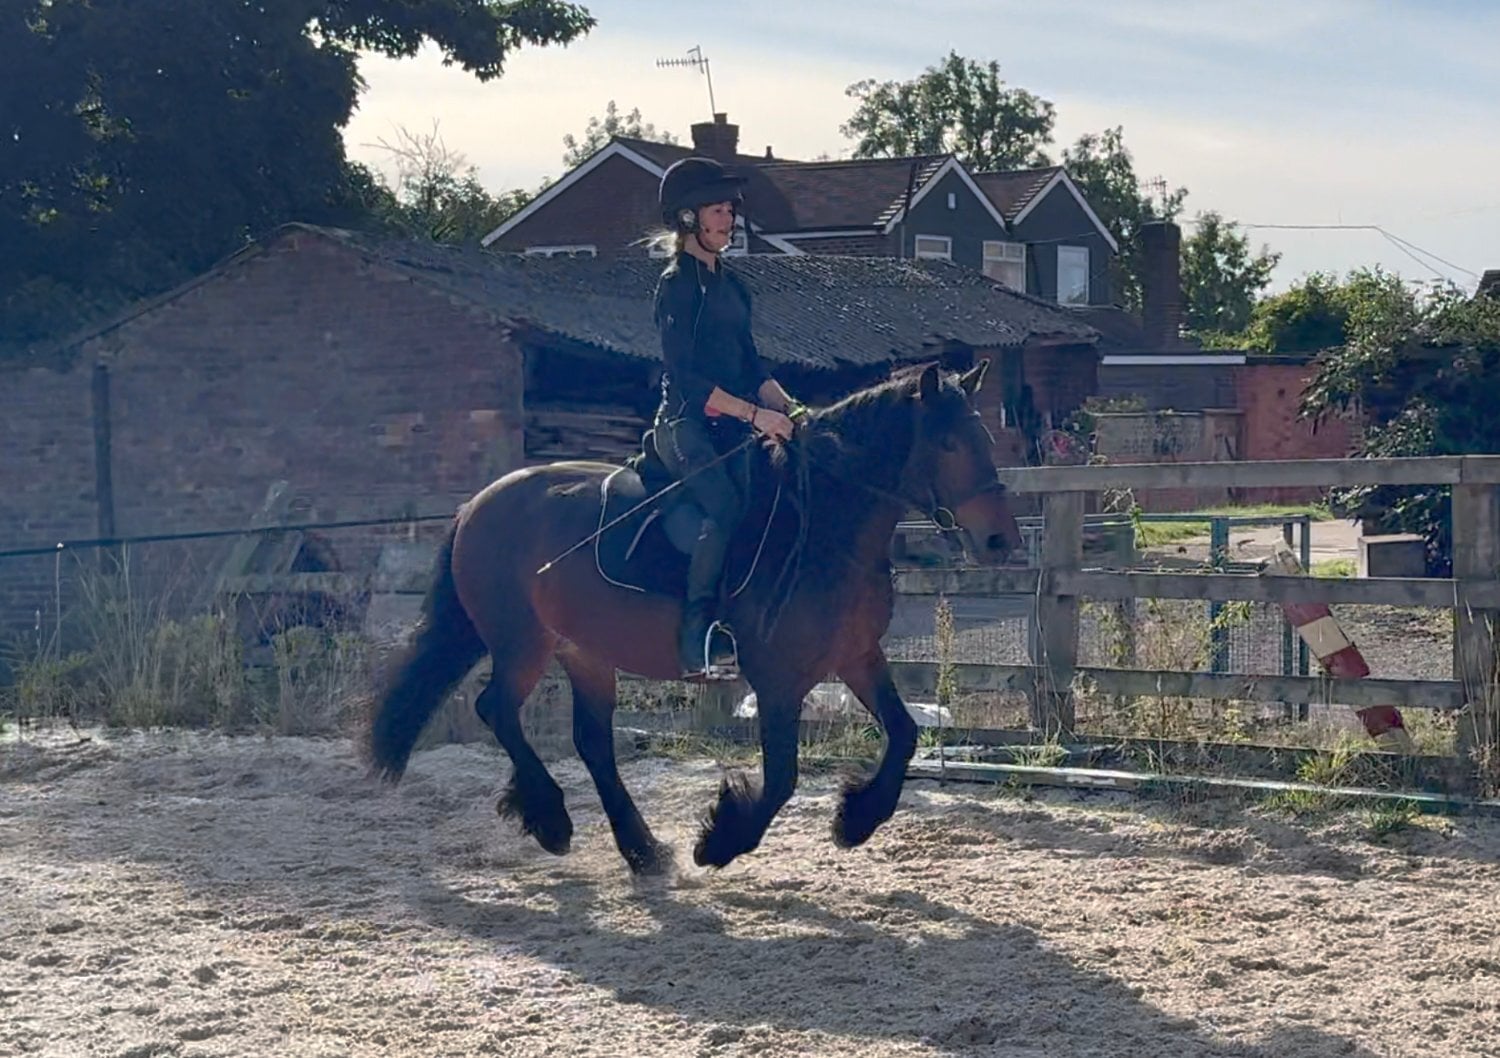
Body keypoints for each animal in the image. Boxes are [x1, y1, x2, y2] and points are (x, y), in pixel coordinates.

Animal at [365, 360, 1022, 875]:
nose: (999, 541)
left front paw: (856, 820)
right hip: (522, 642)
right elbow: (781, 778)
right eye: (948, 444)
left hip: (584, 650)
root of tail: (479, 502)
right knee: (496, 709)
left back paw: (642, 851)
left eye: (985, 438)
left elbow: (905, 734)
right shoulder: (779, 678)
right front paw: (722, 841)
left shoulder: (857, 655)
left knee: (591, 742)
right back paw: (552, 821)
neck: (824, 524)